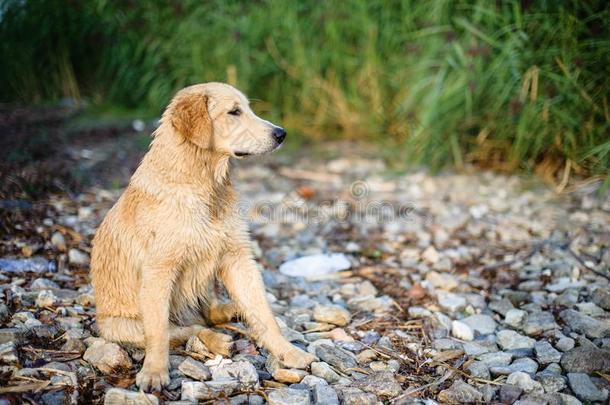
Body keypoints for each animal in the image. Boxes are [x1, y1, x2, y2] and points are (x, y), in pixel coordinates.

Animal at [92, 83, 316, 392]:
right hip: (121, 325)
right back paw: (219, 340)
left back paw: (231, 311)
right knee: (187, 328)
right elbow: (158, 333)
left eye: (248, 108)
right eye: (234, 112)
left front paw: (289, 353)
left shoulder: (238, 257)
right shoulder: (159, 270)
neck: (205, 184)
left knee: (207, 313)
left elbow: (265, 314)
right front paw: (154, 372)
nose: (281, 134)